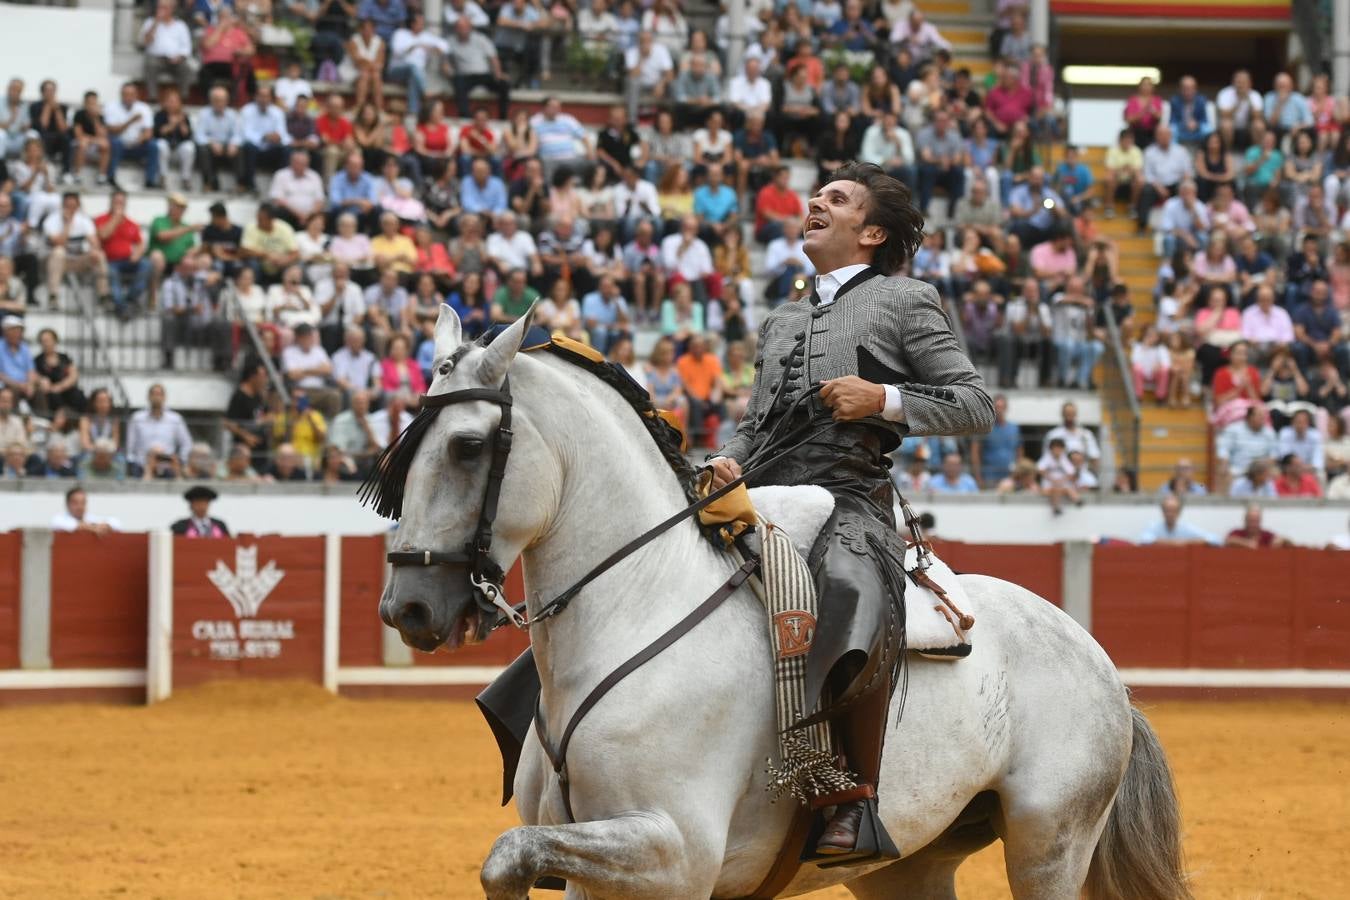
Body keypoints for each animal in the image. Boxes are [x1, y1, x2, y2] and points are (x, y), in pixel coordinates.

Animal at [380, 307, 1193, 900]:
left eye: (467, 446)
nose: (405, 608)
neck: (639, 609)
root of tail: (1099, 660)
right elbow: (511, 854)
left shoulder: (677, 853)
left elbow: (509, 854)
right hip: (912, 863)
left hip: (1050, 841)